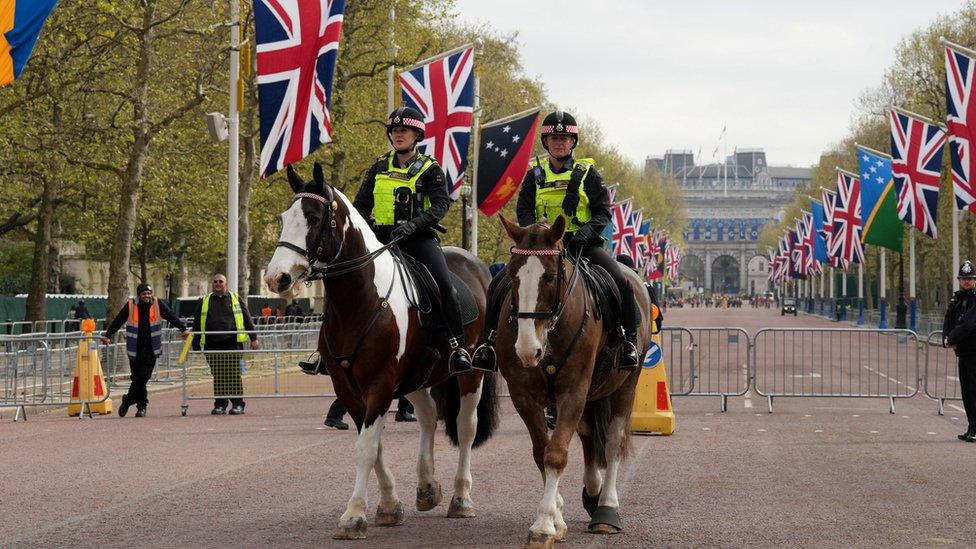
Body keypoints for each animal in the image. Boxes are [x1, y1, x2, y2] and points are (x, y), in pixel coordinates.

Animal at [264, 163, 500, 540]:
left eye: (314, 218)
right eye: (285, 217)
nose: (277, 277)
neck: (361, 300)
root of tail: (476, 264)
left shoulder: (379, 382)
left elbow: (366, 448)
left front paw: (353, 516)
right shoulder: (349, 387)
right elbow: (373, 446)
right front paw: (389, 505)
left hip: (470, 374)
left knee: (465, 425)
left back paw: (461, 498)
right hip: (418, 375)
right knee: (429, 416)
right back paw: (427, 487)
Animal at [496, 216, 648, 544]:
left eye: (550, 277)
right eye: (513, 275)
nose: (527, 349)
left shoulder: (573, 390)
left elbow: (556, 454)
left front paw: (543, 524)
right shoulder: (523, 395)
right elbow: (542, 452)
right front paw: (555, 516)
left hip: (625, 384)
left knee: (612, 441)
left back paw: (607, 508)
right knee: (589, 435)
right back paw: (592, 492)